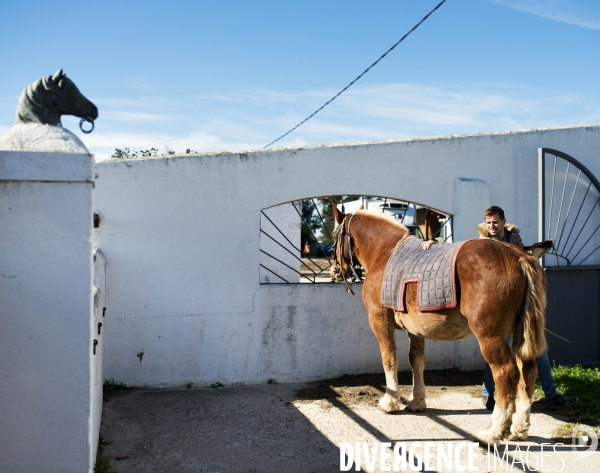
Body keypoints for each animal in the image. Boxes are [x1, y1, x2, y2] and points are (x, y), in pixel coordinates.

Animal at [330, 206, 548, 442]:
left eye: (333, 237)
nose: (334, 270)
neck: (385, 252)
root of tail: (518, 257)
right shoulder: (415, 330)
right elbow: (416, 361)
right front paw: (416, 402)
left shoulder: (379, 322)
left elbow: (389, 359)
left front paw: (390, 403)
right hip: (519, 334)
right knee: (528, 371)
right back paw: (519, 428)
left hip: (490, 336)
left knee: (506, 373)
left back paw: (493, 431)